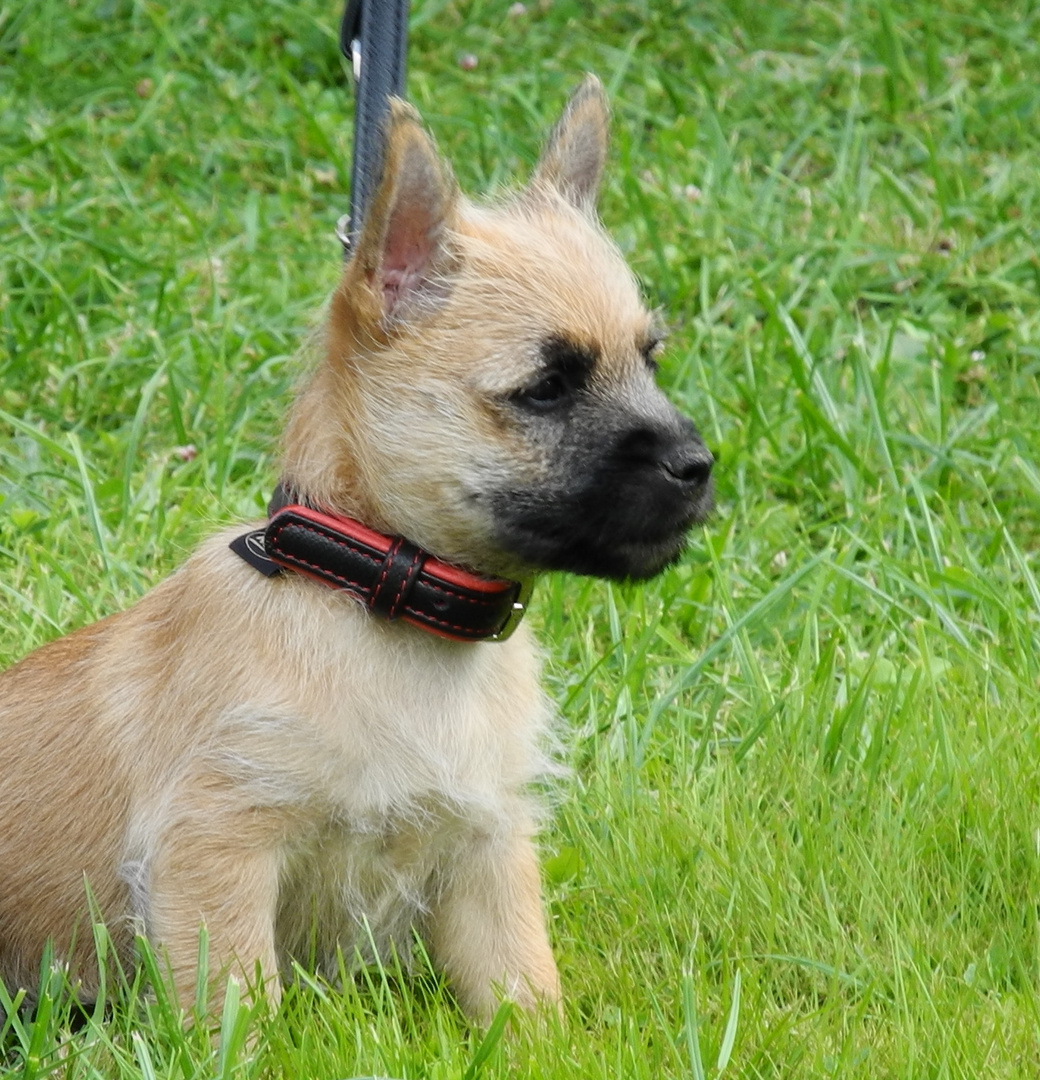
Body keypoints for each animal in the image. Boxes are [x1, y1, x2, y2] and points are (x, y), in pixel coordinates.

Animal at [0, 78, 712, 1019]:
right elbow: (243, 1007)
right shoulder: (216, 847)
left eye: (650, 360)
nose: (698, 465)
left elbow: (524, 994)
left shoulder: (488, 855)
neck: (381, 600)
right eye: (547, 388)